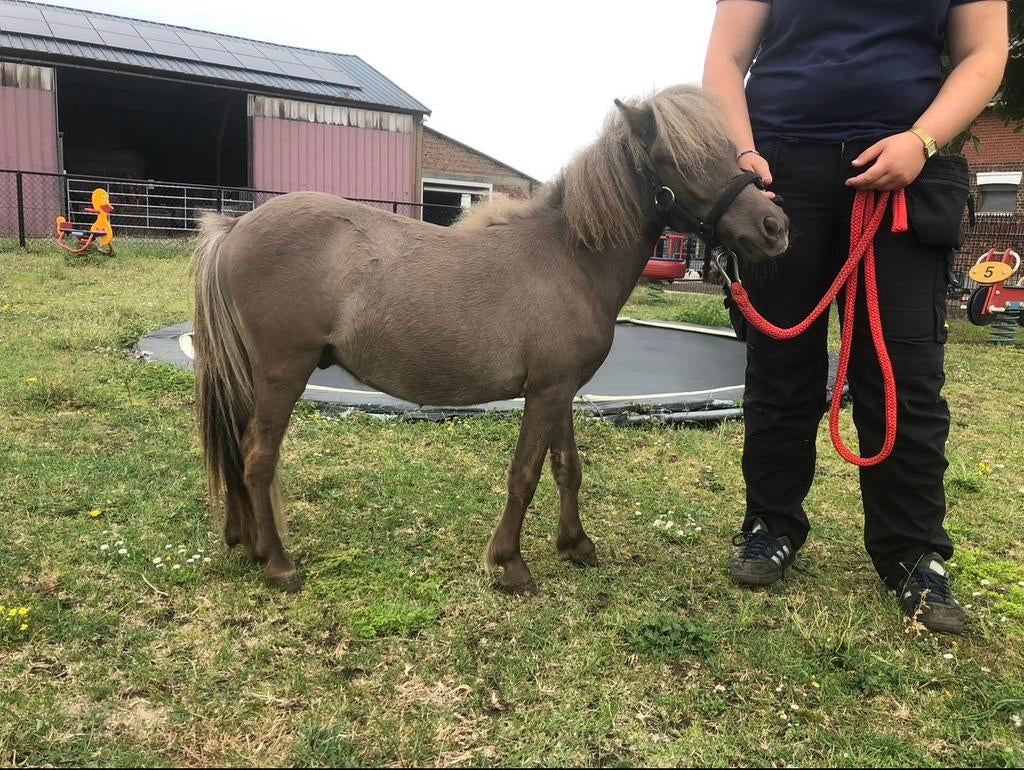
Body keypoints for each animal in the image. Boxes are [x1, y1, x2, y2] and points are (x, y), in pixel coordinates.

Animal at [191, 85, 790, 593]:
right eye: (682, 162)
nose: (775, 227)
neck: (569, 259)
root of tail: (235, 228)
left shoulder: (561, 391)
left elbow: (567, 468)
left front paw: (576, 545)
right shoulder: (544, 393)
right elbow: (524, 474)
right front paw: (510, 564)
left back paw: (251, 545)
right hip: (282, 373)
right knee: (258, 456)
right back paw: (278, 564)